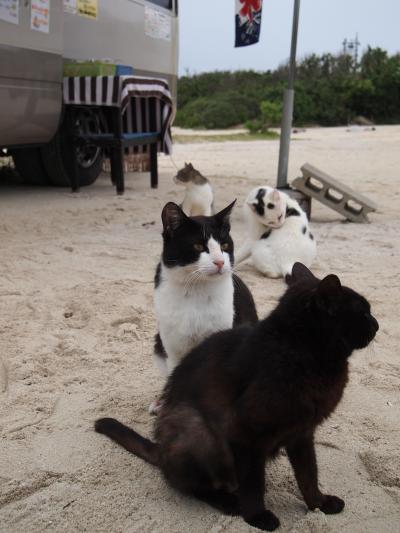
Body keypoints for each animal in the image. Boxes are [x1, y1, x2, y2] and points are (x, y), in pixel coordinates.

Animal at [96, 264, 378, 528]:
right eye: (363, 312)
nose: (377, 325)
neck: (302, 354)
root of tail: (161, 450)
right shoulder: (247, 434)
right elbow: (254, 483)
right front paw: (257, 517)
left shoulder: (302, 433)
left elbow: (308, 474)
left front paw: (319, 504)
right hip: (198, 428)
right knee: (189, 484)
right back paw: (229, 502)